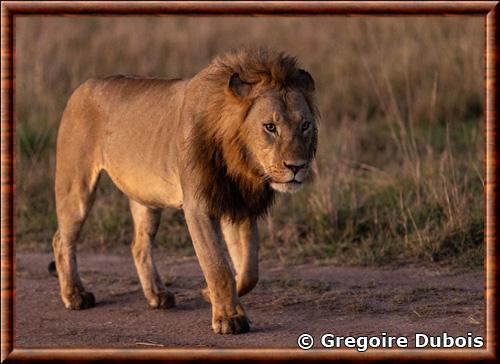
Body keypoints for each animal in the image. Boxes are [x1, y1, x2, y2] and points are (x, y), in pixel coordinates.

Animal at [49, 48, 316, 336]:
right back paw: (75, 295)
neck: (242, 162)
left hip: (147, 199)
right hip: (76, 186)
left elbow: (249, 270)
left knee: (139, 245)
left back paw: (157, 295)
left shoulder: (238, 205)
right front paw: (228, 318)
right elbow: (217, 265)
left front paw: (209, 294)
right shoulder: (198, 206)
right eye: (270, 127)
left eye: (304, 125)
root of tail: (83, 86)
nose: (297, 166)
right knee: (61, 239)